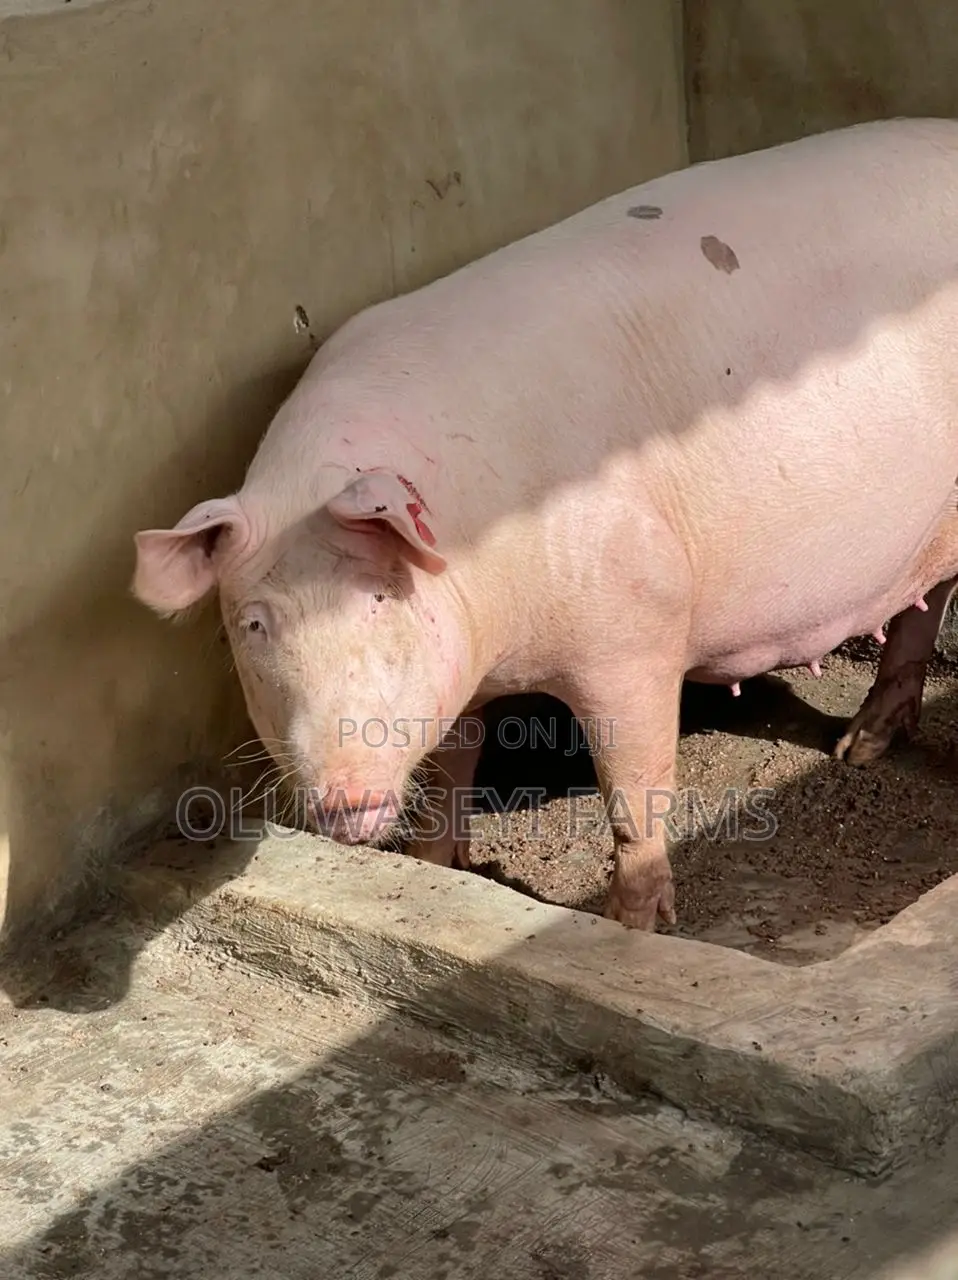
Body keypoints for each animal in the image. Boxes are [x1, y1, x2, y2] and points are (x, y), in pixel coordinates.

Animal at [132, 116, 958, 931]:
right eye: (254, 624)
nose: (345, 797)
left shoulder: (639, 621)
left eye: (378, 599)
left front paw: (632, 927)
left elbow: (633, 791)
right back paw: (861, 748)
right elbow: (449, 775)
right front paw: (439, 870)